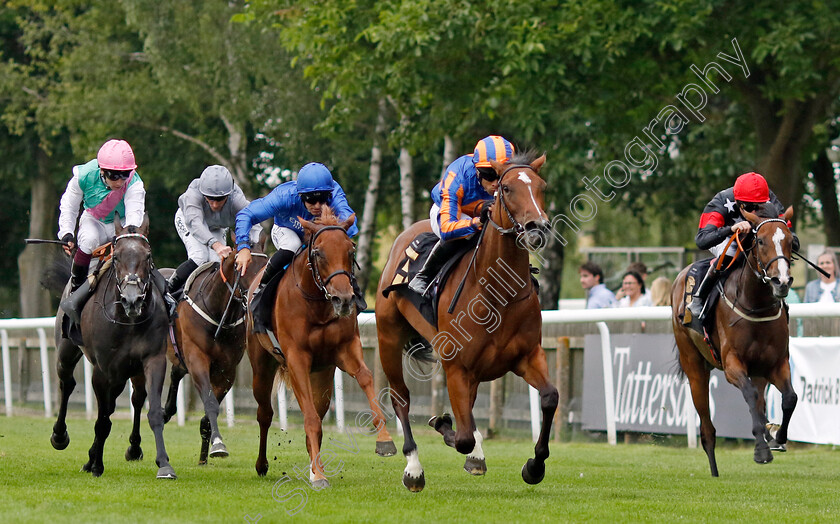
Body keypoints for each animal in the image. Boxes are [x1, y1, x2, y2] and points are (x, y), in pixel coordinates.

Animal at [46, 214, 176, 478]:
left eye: (148, 256)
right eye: (117, 257)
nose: (132, 299)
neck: (128, 321)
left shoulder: (153, 360)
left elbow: (153, 412)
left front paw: (164, 464)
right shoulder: (102, 369)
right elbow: (102, 420)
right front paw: (97, 465)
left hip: (125, 372)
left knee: (129, 398)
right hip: (67, 351)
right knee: (67, 383)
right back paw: (60, 436)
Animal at [159, 236, 268, 462]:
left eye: (266, 264)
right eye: (240, 266)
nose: (257, 293)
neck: (218, 314)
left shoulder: (227, 370)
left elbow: (211, 411)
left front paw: (205, 454)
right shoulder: (197, 360)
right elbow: (209, 403)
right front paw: (217, 444)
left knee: (175, 373)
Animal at [248, 206, 396, 488]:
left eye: (351, 250)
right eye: (318, 252)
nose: (344, 299)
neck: (316, 303)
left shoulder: (345, 349)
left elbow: (365, 377)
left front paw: (385, 440)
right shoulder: (296, 359)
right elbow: (310, 420)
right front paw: (318, 476)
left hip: (323, 376)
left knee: (317, 410)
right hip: (262, 366)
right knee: (265, 413)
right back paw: (262, 465)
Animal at [374, 150, 556, 492]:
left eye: (542, 187)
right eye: (507, 189)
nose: (537, 227)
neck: (498, 293)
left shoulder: (527, 356)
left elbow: (550, 398)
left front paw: (534, 466)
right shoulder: (457, 367)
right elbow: (462, 437)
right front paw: (442, 426)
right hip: (388, 337)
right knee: (401, 399)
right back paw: (413, 468)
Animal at [672, 207, 796, 476]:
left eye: (791, 241)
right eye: (760, 241)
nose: (781, 282)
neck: (756, 306)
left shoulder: (776, 364)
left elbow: (790, 398)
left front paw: (777, 437)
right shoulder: (732, 365)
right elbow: (749, 395)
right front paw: (761, 451)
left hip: (758, 371)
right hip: (694, 368)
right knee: (707, 427)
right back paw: (714, 469)